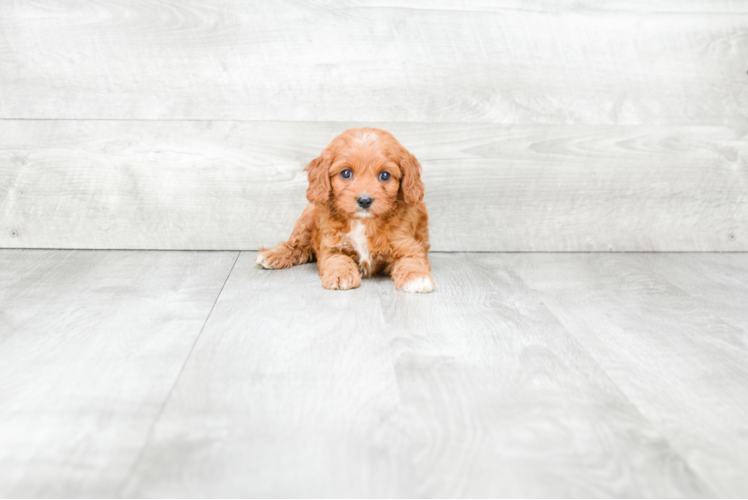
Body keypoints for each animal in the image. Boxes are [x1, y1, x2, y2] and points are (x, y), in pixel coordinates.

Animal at [256, 127, 436, 292]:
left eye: (385, 175)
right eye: (346, 173)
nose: (364, 200)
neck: (363, 222)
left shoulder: (407, 244)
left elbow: (412, 260)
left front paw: (416, 277)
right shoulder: (331, 246)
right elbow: (338, 260)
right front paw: (340, 275)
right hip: (307, 219)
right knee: (296, 245)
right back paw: (271, 255)